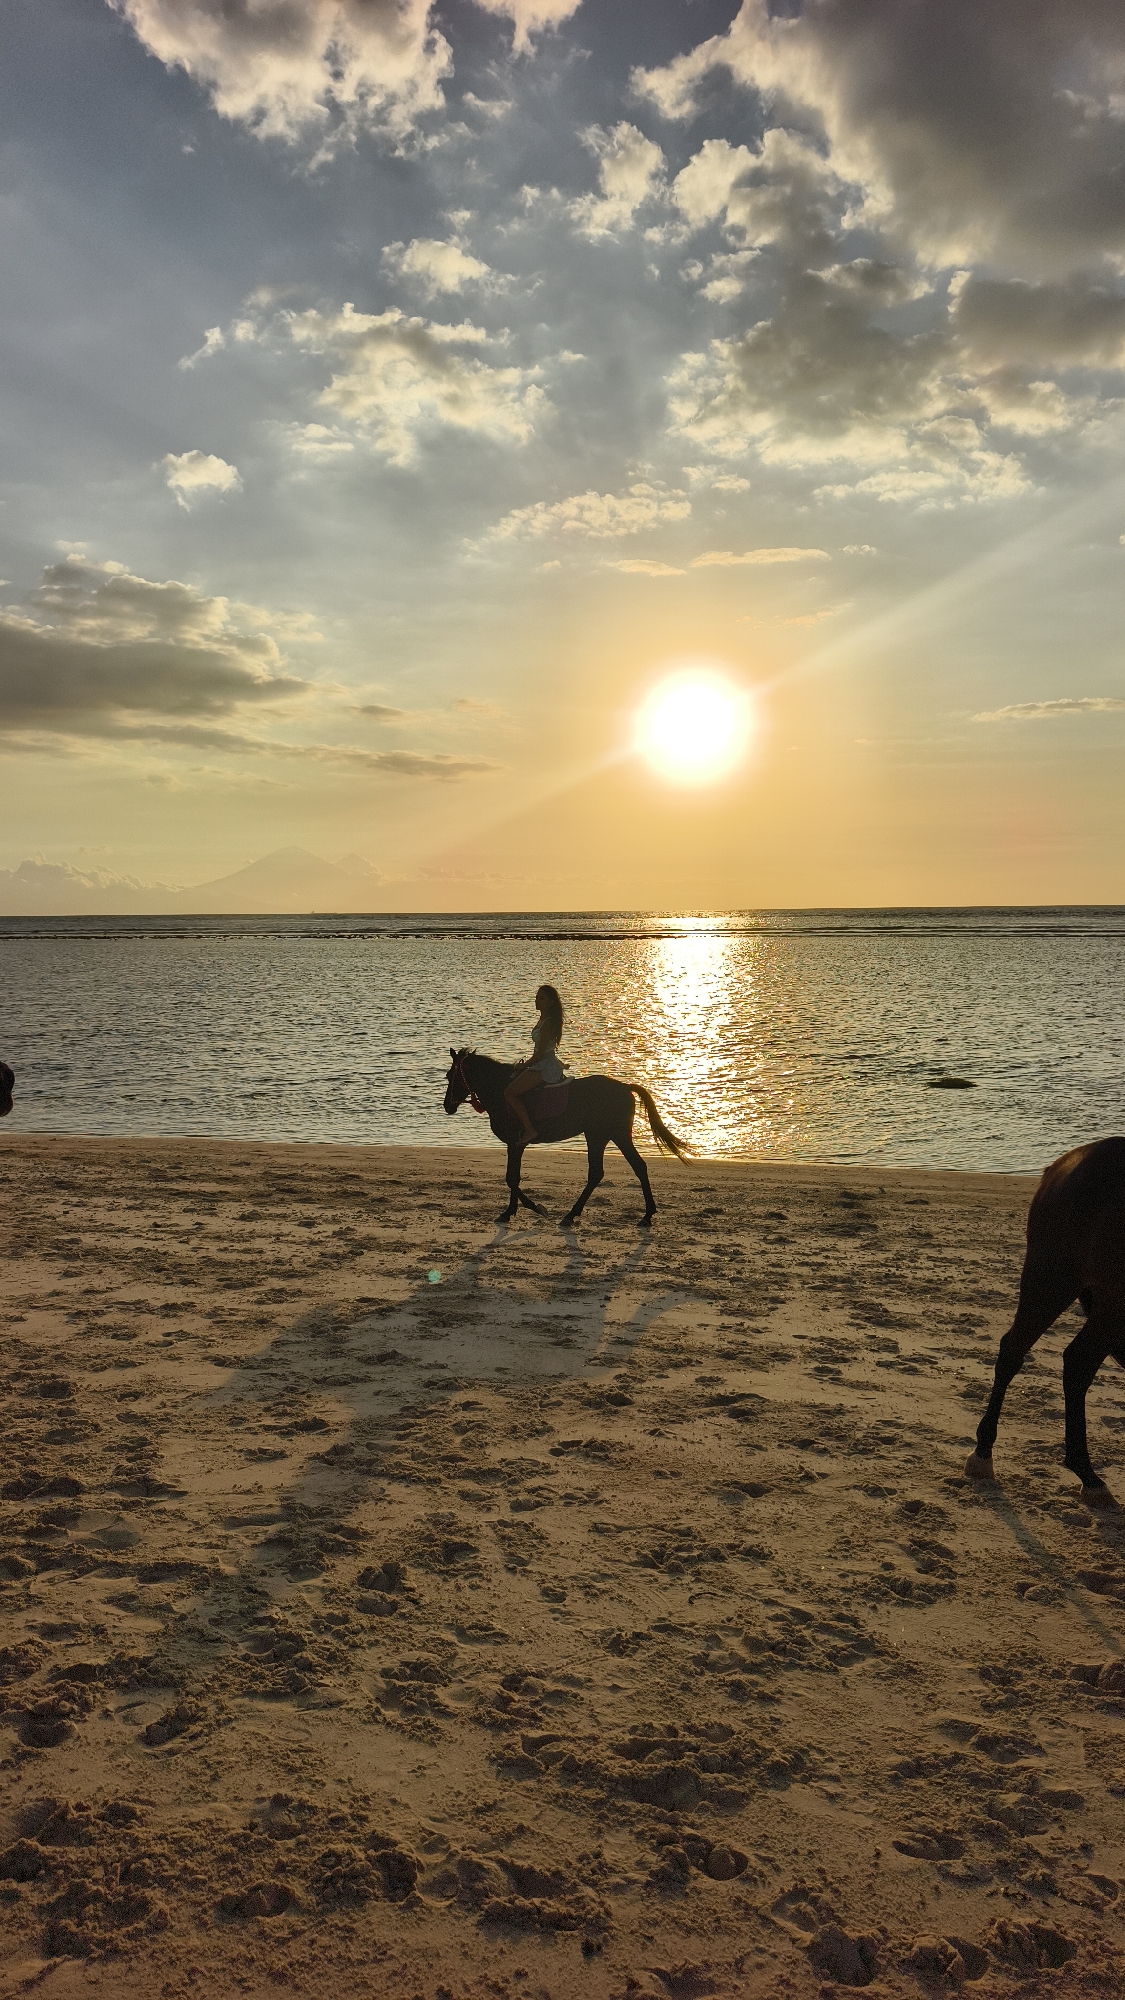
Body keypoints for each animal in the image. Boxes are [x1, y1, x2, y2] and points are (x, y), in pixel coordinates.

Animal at [443, 1048, 690, 1227]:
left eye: (449, 1075)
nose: (447, 1106)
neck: (501, 1091)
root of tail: (624, 1087)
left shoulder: (515, 1142)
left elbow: (511, 1178)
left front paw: (533, 1208)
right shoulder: (516, 1144)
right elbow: (514, 1176)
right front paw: (510, 1211)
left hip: (599, 1134)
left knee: (598, 1172)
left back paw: (572, 1215)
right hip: (614, 1135)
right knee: (636, 1167)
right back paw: (646, 1214)